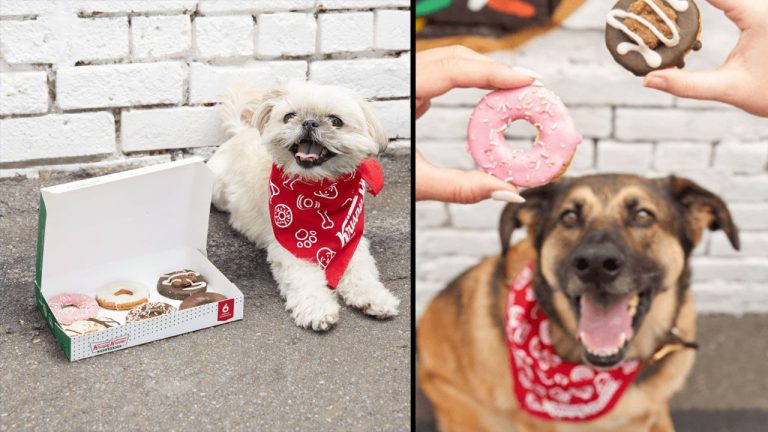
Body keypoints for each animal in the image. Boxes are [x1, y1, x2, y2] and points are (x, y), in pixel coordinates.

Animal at [208, 81, 402, 330]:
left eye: (336, 121)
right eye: (289, 116)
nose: (309, 122)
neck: (318, 191)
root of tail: (240, 131)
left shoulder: (351, 239)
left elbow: (361, 271)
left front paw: (374, 297)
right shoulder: (291, 246)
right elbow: (305, 280)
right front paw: (318, 309)